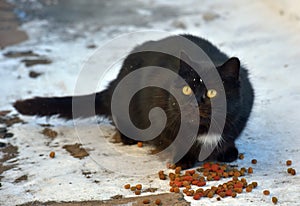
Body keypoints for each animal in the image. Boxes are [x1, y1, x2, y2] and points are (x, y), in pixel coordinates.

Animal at [13, 34, 253, 169]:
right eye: (186, 89)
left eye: (212, 92)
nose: (196, 101)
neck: (204, 130)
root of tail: (115, 81)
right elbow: (175, 140)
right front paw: (183, 159)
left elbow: (229, 136)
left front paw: (227, 152)